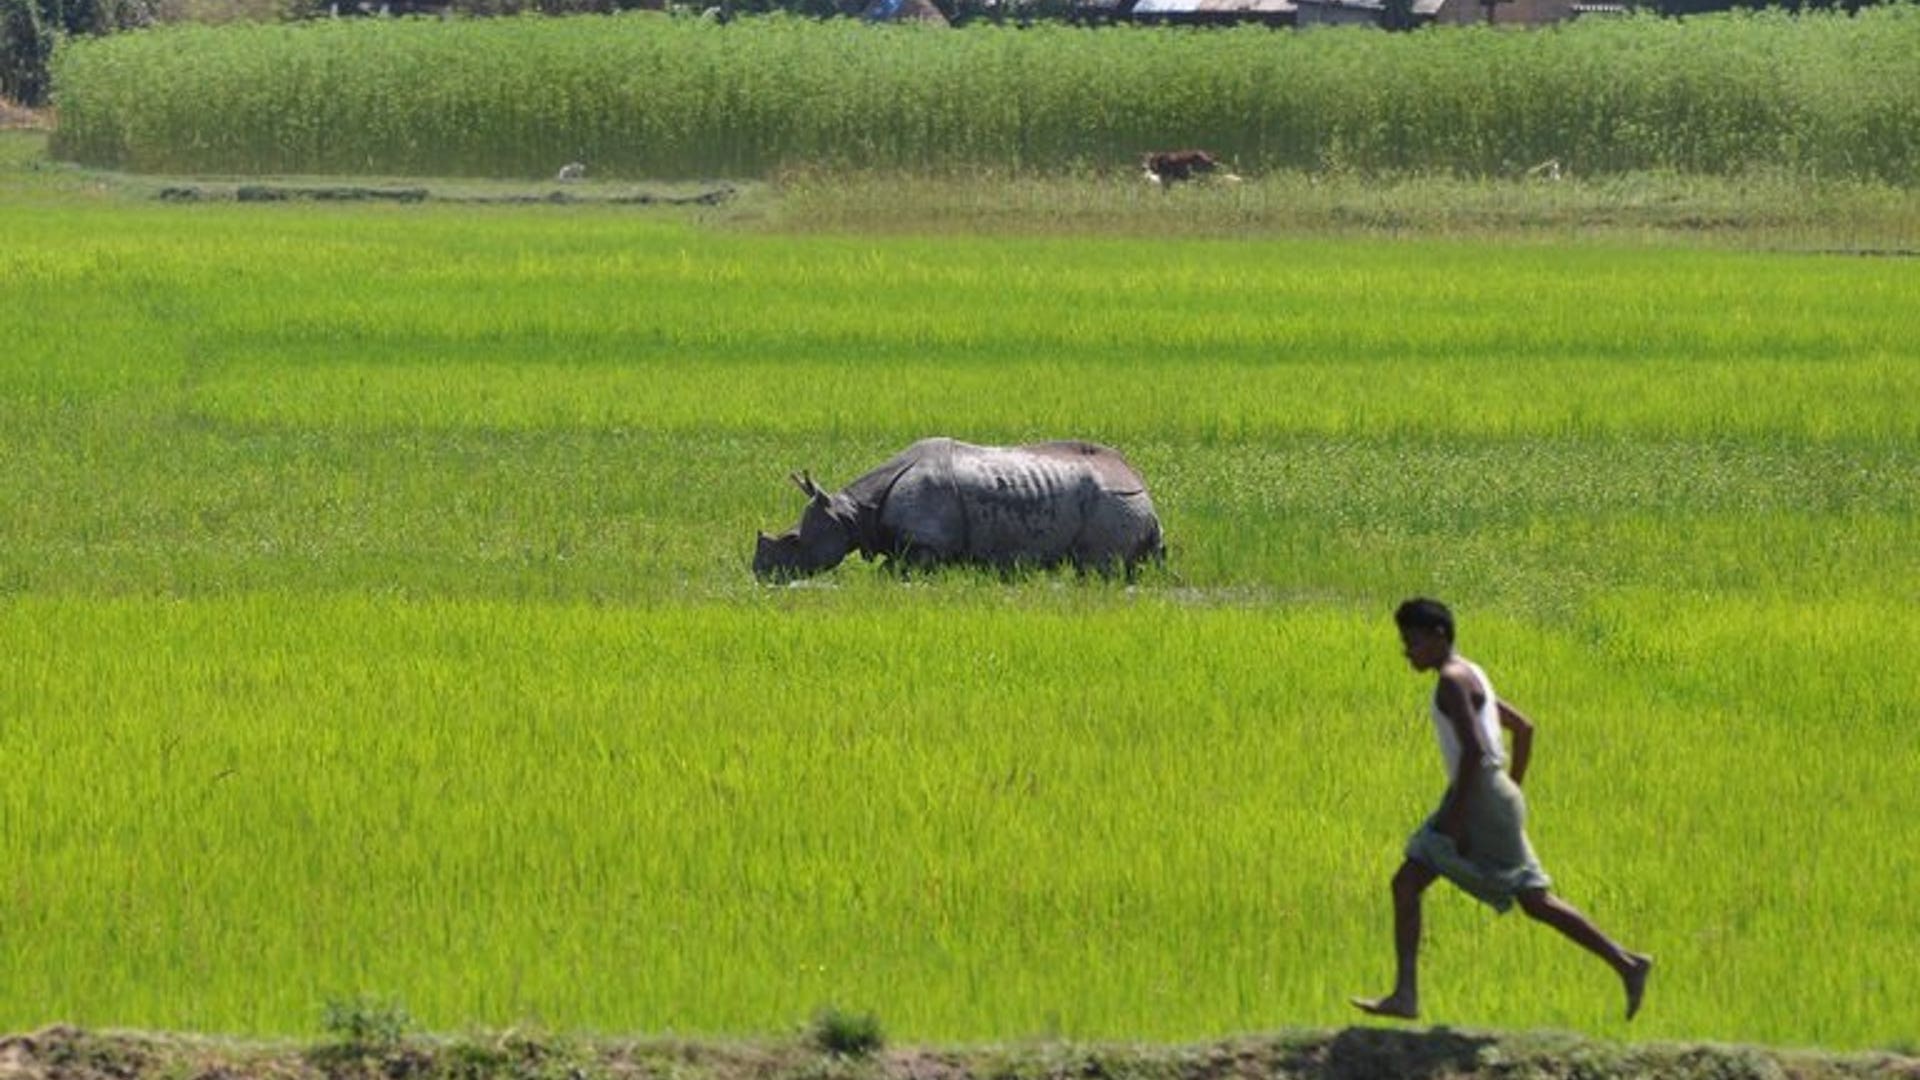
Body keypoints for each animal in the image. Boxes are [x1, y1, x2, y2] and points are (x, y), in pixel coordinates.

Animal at [753, 437, 1164, 580]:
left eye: (793, 541)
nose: (760, 574)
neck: (852, 512)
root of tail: (1142, 485)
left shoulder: (927, 545)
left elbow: (894, 571)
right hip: (1123, 502)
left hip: (1115, 501)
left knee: (1097, 567)